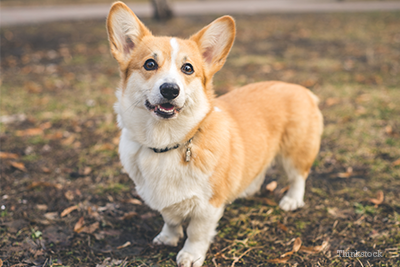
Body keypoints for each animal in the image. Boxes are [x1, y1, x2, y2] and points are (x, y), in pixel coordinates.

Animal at [105, 1, 322, 266]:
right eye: (149, 64)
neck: (166, 142)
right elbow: (170, 219)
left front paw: (190, 254)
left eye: (188, 69)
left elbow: (196, 232)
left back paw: (292, 200)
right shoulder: (164, 200)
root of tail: (302, 89)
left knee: (298, 176)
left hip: (295, 152)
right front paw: (168, 238)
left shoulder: (208, 206)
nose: (170, 90)